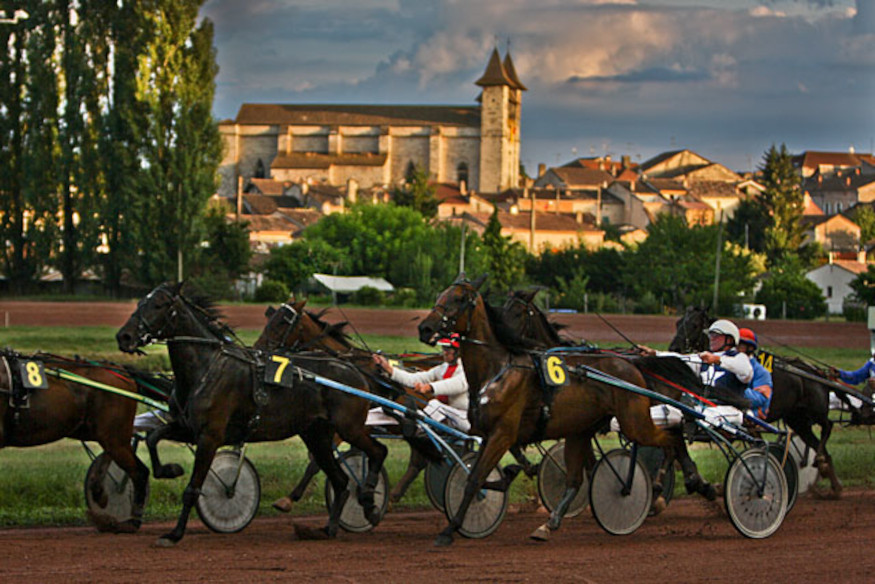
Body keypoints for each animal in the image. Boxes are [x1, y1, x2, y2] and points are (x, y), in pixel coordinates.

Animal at [0, 350, 149, 532]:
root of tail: (121, 372)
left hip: (115, 436)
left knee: (139, 472)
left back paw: (132, 520)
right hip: (96, 432)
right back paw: (99, 492)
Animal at [116, 284, 386, 548]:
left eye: (158, 305)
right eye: (140, 302)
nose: (124, 337)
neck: (206, 368)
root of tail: (355, 370)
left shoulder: (210, 436)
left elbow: (192, 488)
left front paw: (174, 534)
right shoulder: (187, 428)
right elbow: (154, 438)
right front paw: (170, 469)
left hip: (349, 427)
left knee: (377, 451)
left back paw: (368, 499)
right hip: (316, 435)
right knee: (340, 481)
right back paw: (329, 528)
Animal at [418, 276, 692, 544]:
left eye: (459, 299)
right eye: (440, 295)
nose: (425, 328)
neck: (498, 370)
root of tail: (631, 365)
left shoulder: (502, 433)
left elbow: (474, 479)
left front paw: (449, 530)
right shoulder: (489, 434)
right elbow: (480, 474)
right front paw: (508, 476)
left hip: (634, 423)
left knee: (672, 437)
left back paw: (686, 482)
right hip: (581, 429)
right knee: (576, 478)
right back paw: (548, 524)